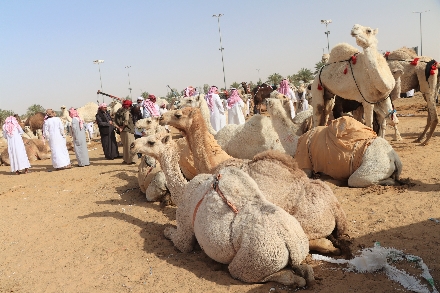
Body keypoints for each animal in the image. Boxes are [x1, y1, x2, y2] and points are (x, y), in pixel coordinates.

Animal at [130, 133, 312, 286]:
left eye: (151, 141)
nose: (132, 144)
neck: (183, 190)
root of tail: (291, 244)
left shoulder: (184, 223)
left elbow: (179, 240)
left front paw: (167, 230)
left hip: (257, 258)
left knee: (249, 273)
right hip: (296, 251)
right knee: (306, 271)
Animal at [264, 97, 402, 186]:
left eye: (268, 100)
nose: (265, 100)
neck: (295, 142)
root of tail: (395, 158)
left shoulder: (305, 164)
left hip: (371, 169)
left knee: (356, 180)